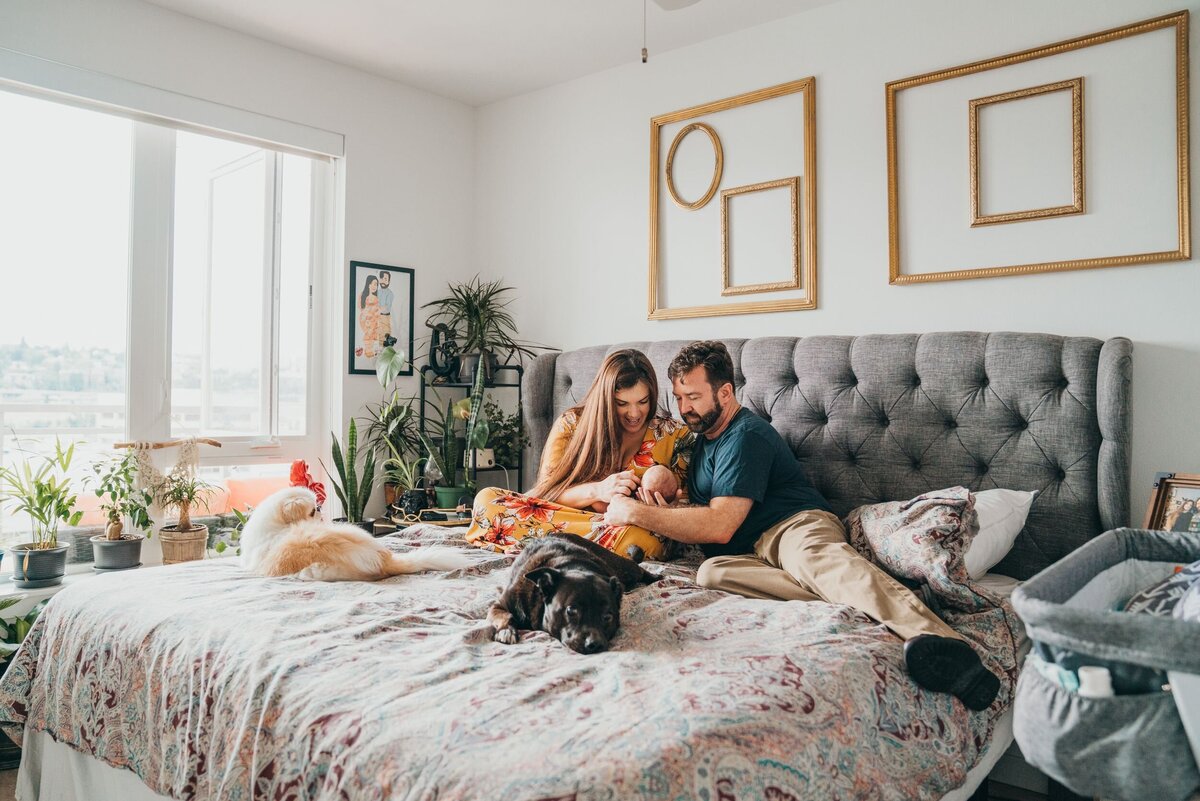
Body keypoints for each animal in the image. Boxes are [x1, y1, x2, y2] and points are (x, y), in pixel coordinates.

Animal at [484, 534, 657, 652]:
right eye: (571, 611)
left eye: (608, 617)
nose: (595, 644)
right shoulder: (499, 605)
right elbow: (505, 616)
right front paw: (506, 631)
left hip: (624, 569)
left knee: (641, 570)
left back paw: (656, 578)